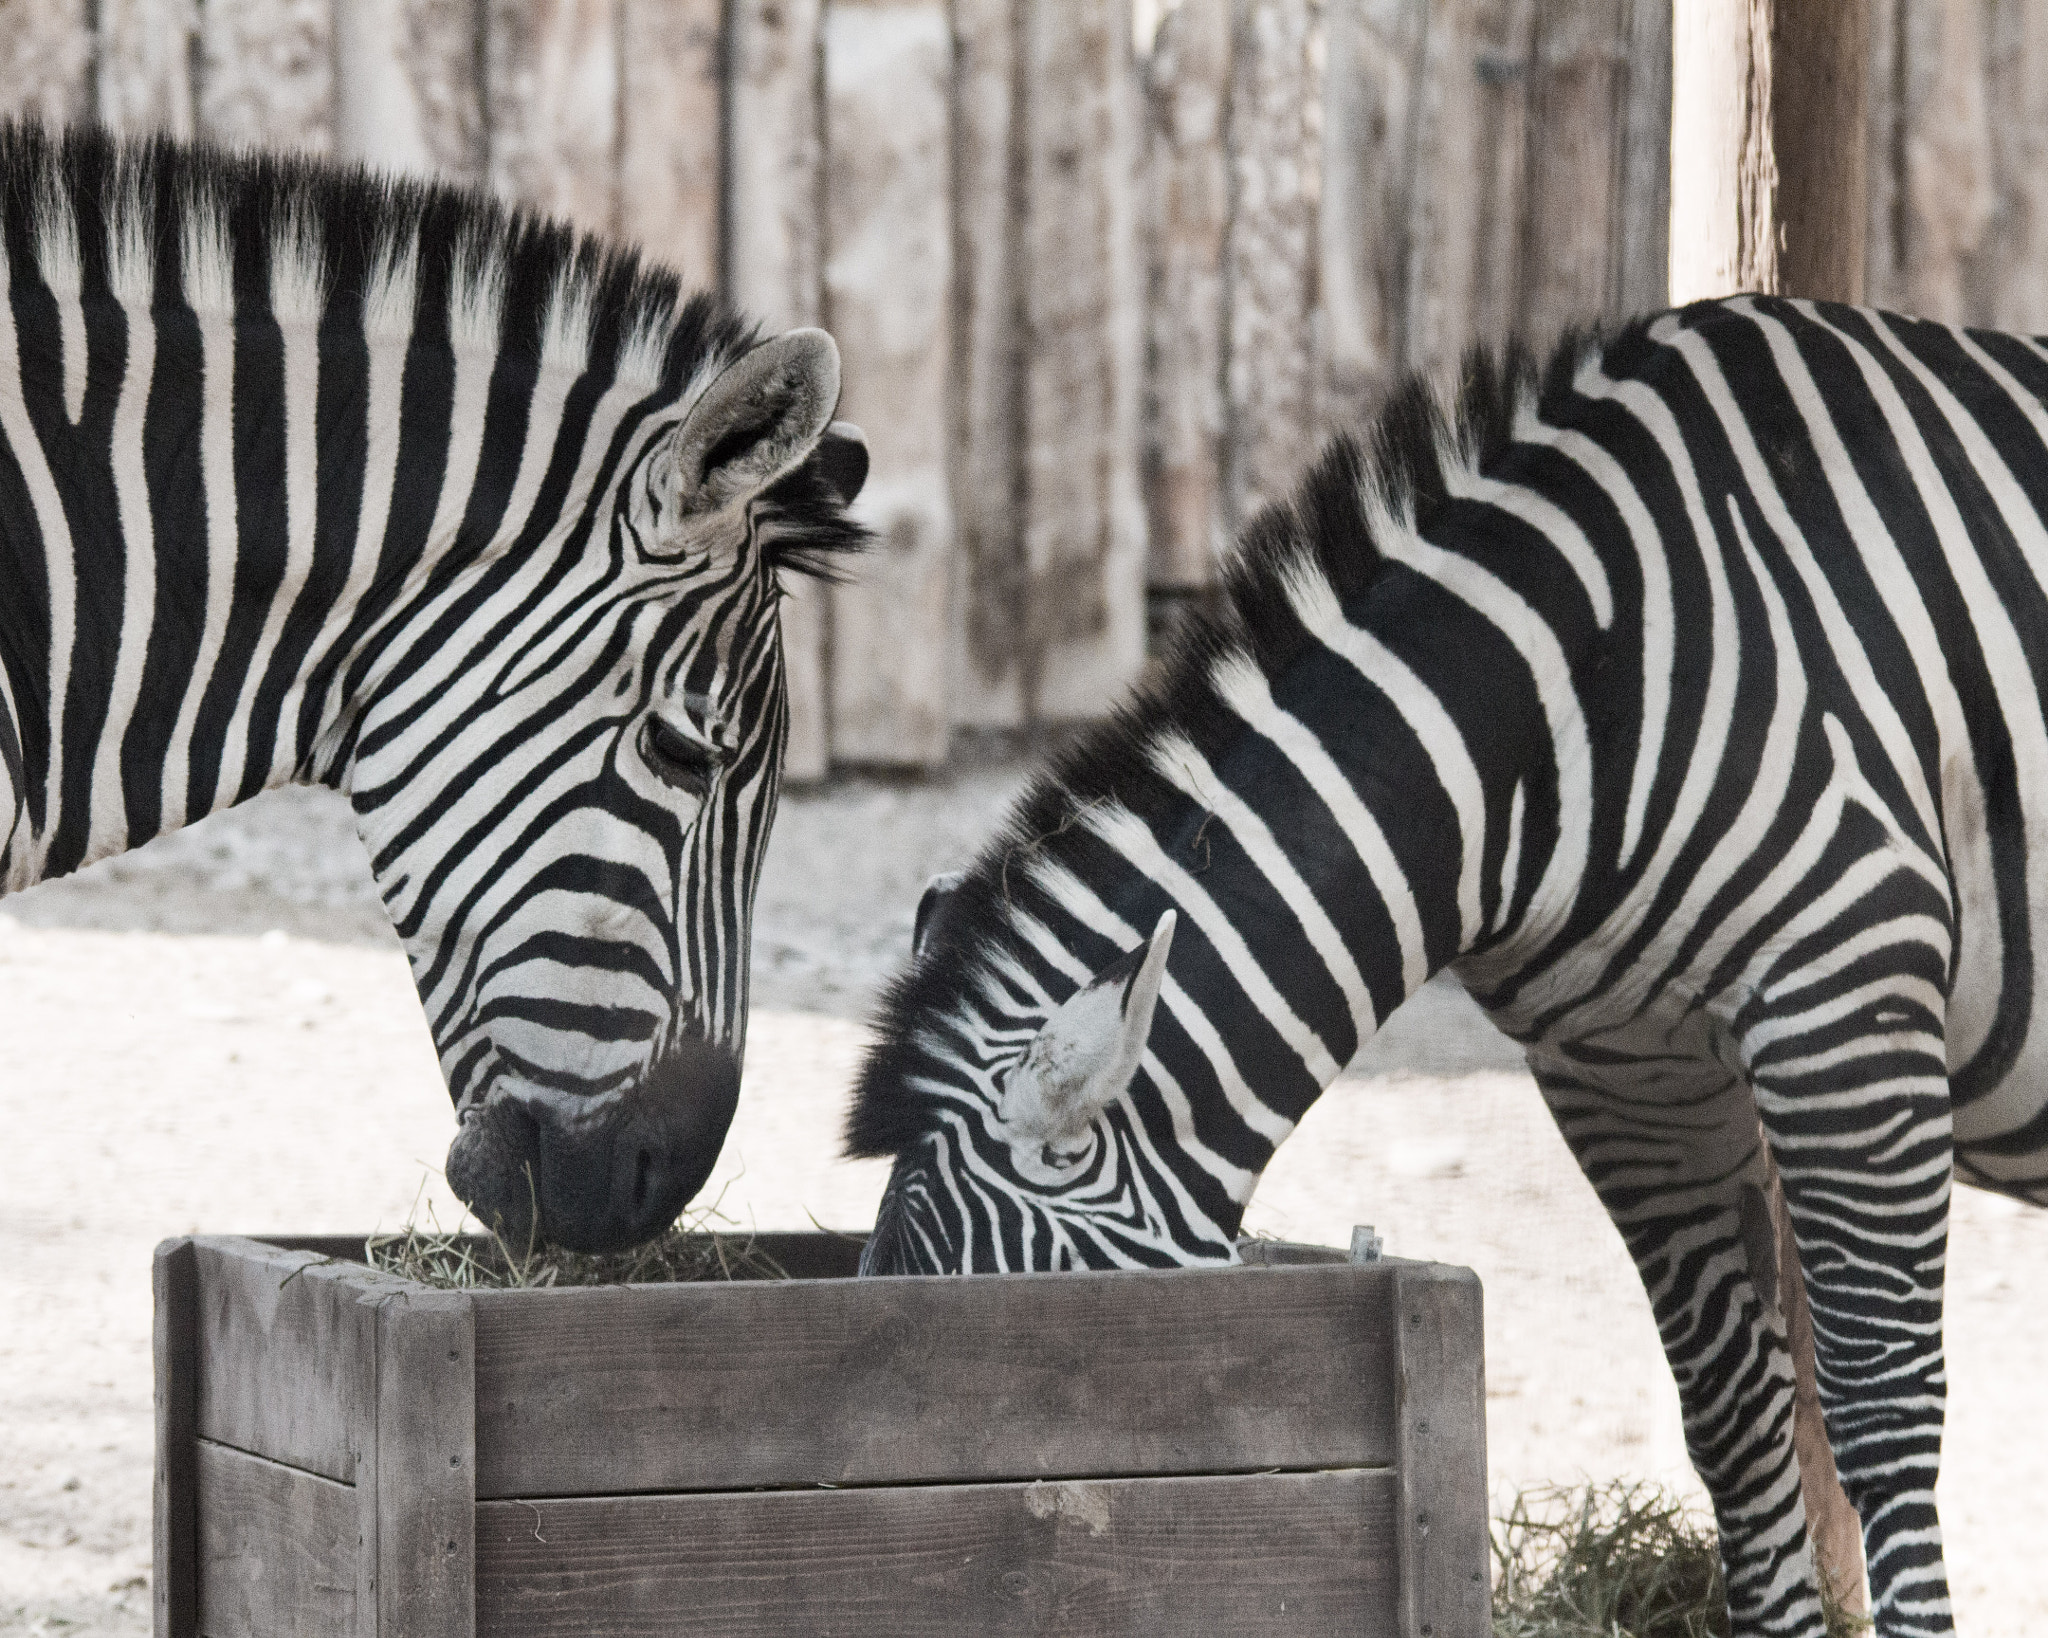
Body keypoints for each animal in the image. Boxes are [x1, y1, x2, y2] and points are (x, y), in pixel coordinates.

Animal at [847, 294, 2048, 1637]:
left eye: (1016, 1370)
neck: (1570, 696)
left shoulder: (1845, 1000)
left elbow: (1879, 1410)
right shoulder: (1623, 1068)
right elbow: (1735, 1418)